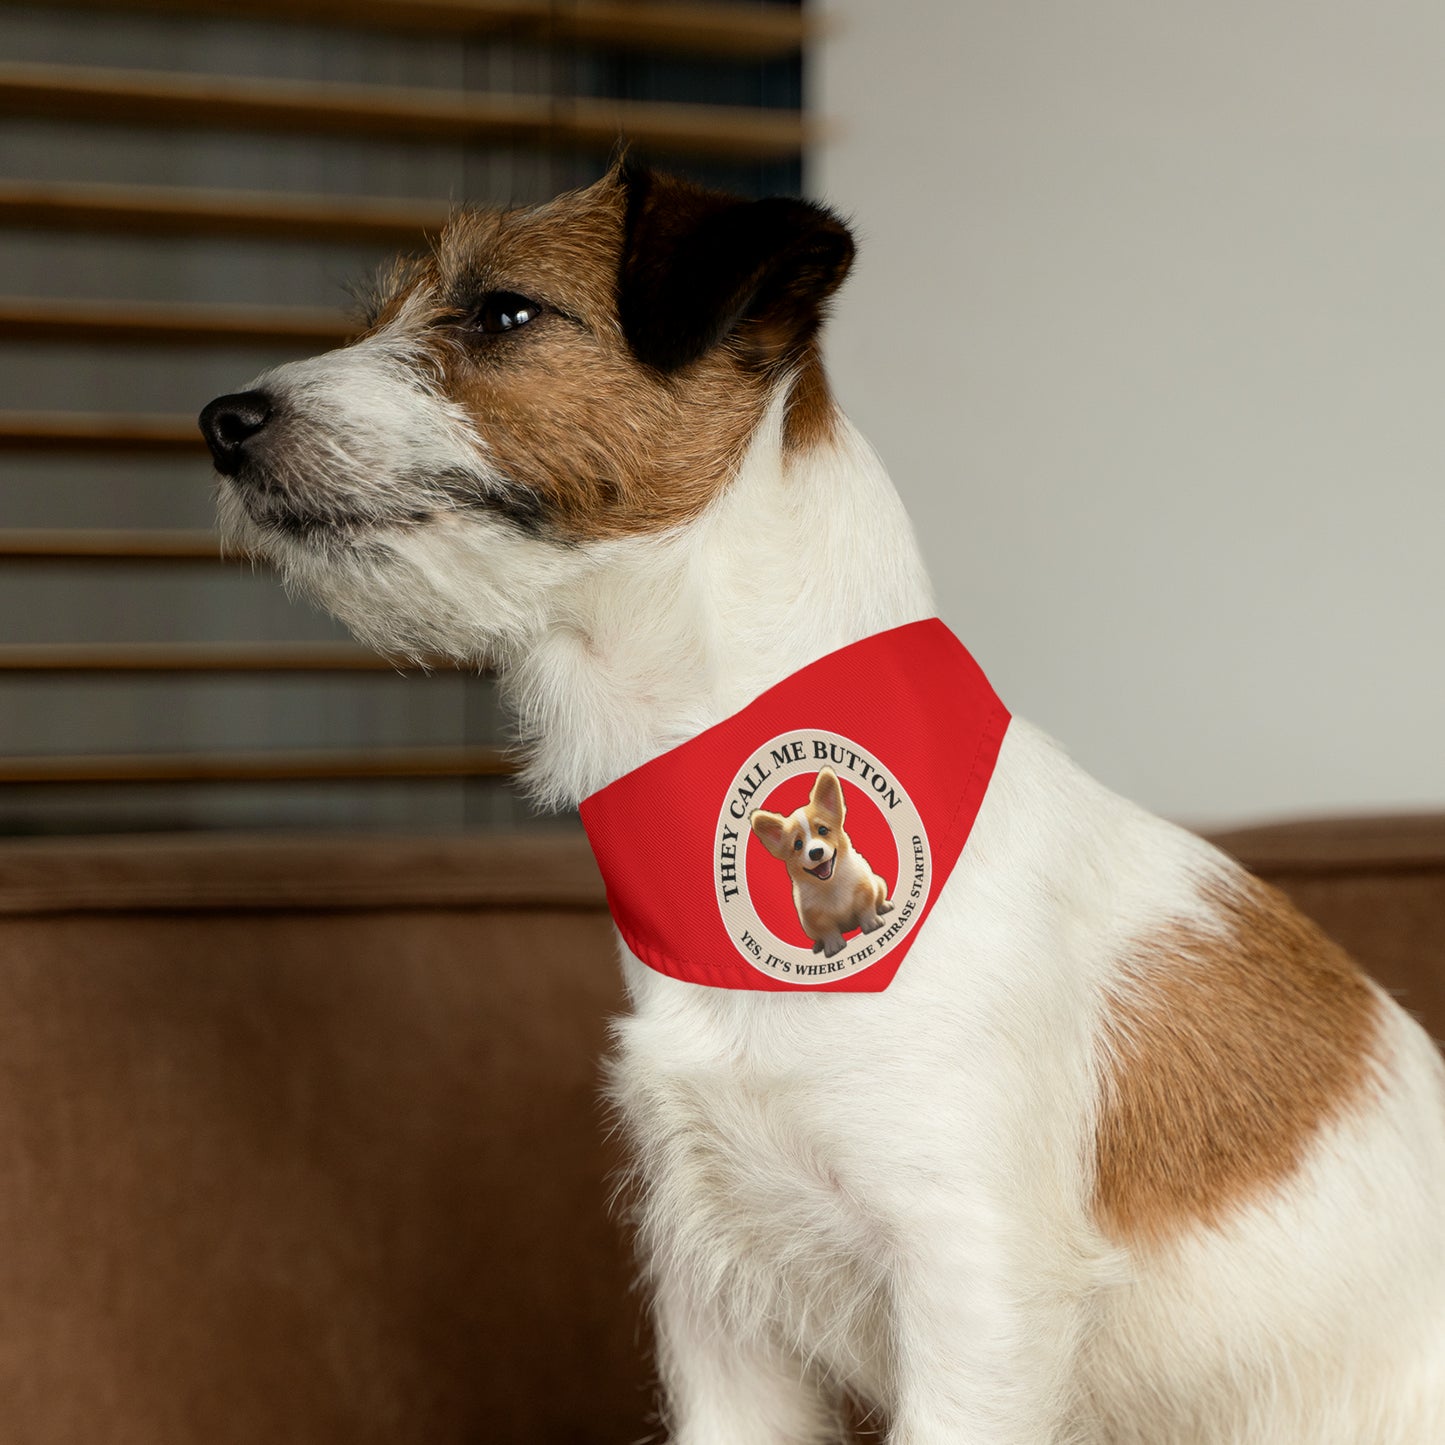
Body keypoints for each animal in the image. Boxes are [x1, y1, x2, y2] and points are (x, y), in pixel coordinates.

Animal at [745, 768, 890, 959]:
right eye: (798, 844)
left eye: (823, 830)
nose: (816, 853)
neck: (830, 884)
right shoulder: (814, 917)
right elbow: (828, 931)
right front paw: (833, 946)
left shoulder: (865, 890)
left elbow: (866, 909)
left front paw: (872, 923)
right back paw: (817, 945)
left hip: (879, 883)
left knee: (878, 899)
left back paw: (884, 906)